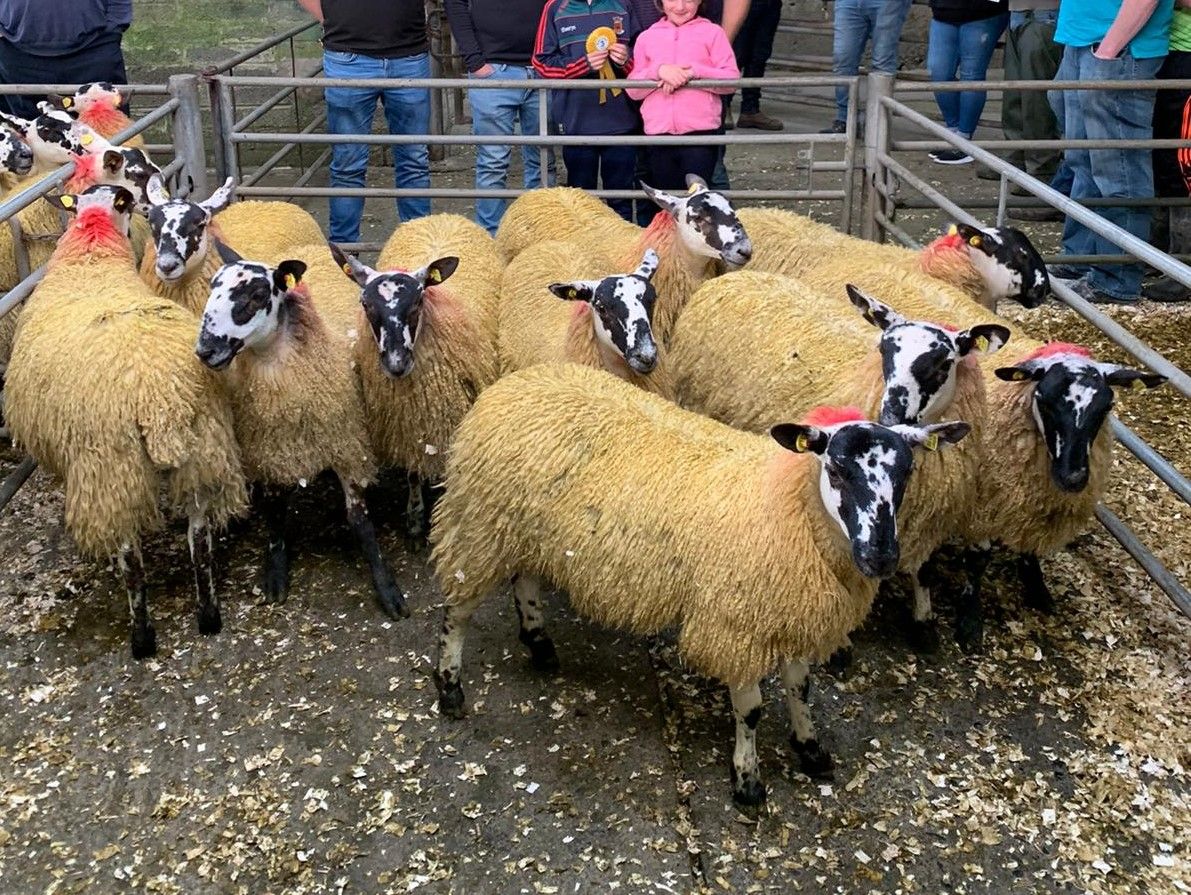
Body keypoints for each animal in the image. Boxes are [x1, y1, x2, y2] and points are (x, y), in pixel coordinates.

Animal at [4, 185, 248, 658]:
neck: (90, 254)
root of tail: (158, 401)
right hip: (204, 452)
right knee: (200, 542)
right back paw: (208, 616)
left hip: (111, 469)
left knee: (132, 563)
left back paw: (142, 638)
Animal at [194, 241, 409, 619]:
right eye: (212, 287)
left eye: (257, 294)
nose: (206, 350)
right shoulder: (272, 449)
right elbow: (276, 513)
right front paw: (276, 573)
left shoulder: (347, 445)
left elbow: (361, 524)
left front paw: (387, 588)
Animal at [330, 221, 500, 538]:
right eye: (365, 304)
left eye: (418, 302)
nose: (396, 364)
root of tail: (441, 216)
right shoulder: (407, 425)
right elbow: (411, 472)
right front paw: (414, 514)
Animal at [429, 362, 970, 806]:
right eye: (836, 469)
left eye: (908, 472)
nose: (881, 557)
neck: (787, 504)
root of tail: (511, 384)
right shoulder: (736, 625)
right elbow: (750, 711)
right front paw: (747, 782)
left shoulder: (792, 613)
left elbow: (801, 688)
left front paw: (811, 749)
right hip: (478, 521)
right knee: (457, 608)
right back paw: (451, 687)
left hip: (519, 529)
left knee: (523, 580)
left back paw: (539, 643)